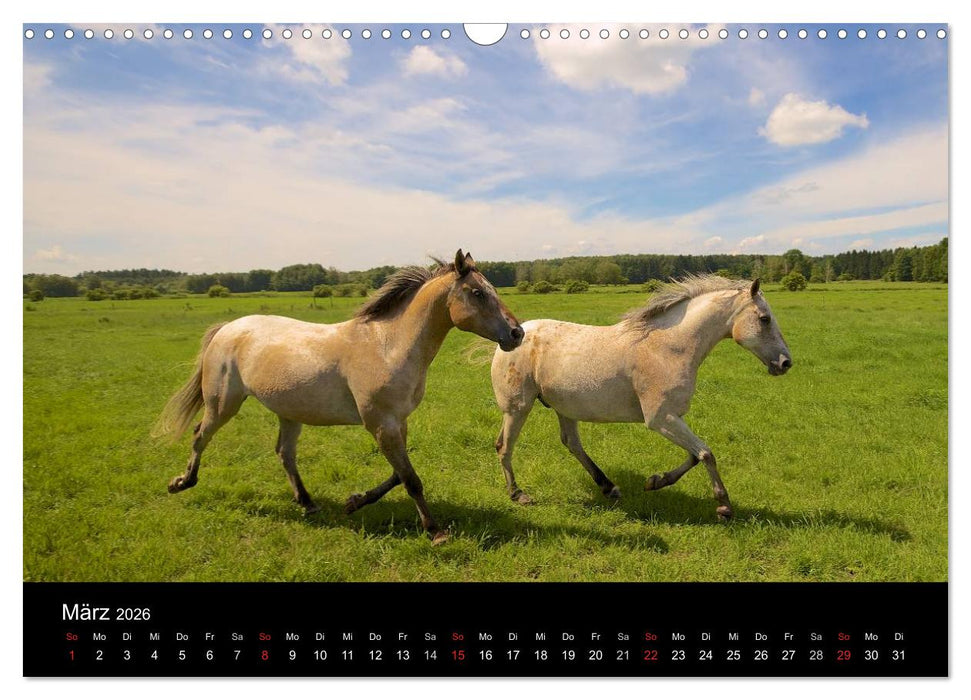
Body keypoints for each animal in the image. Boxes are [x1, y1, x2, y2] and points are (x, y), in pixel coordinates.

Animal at [155, 250, 524, 544]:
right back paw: (181, 483)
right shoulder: (381, 424)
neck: (388, 346)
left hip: (289, 413)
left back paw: (307, 503)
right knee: (200, 435)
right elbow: (410, 479)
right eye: (477, 292)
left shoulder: (396, 422)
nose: (516, 333)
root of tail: (228, 328)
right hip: (223, 404)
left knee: (284, 454)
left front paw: (354, 501)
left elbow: (398, 474)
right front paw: (435, 531)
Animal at [490, 274, 792, 521]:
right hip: (518, 408)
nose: (786, 363)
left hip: (565, 407)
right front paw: (724, 506)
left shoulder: (672, 417)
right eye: (764, 319)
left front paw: (655, 481)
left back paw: (609, 488)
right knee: (504, 446)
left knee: (571, 443)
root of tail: (514, 334)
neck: (668, 347)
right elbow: (706, 453)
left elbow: (694, 455)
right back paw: (518, 494)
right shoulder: (660, 418)